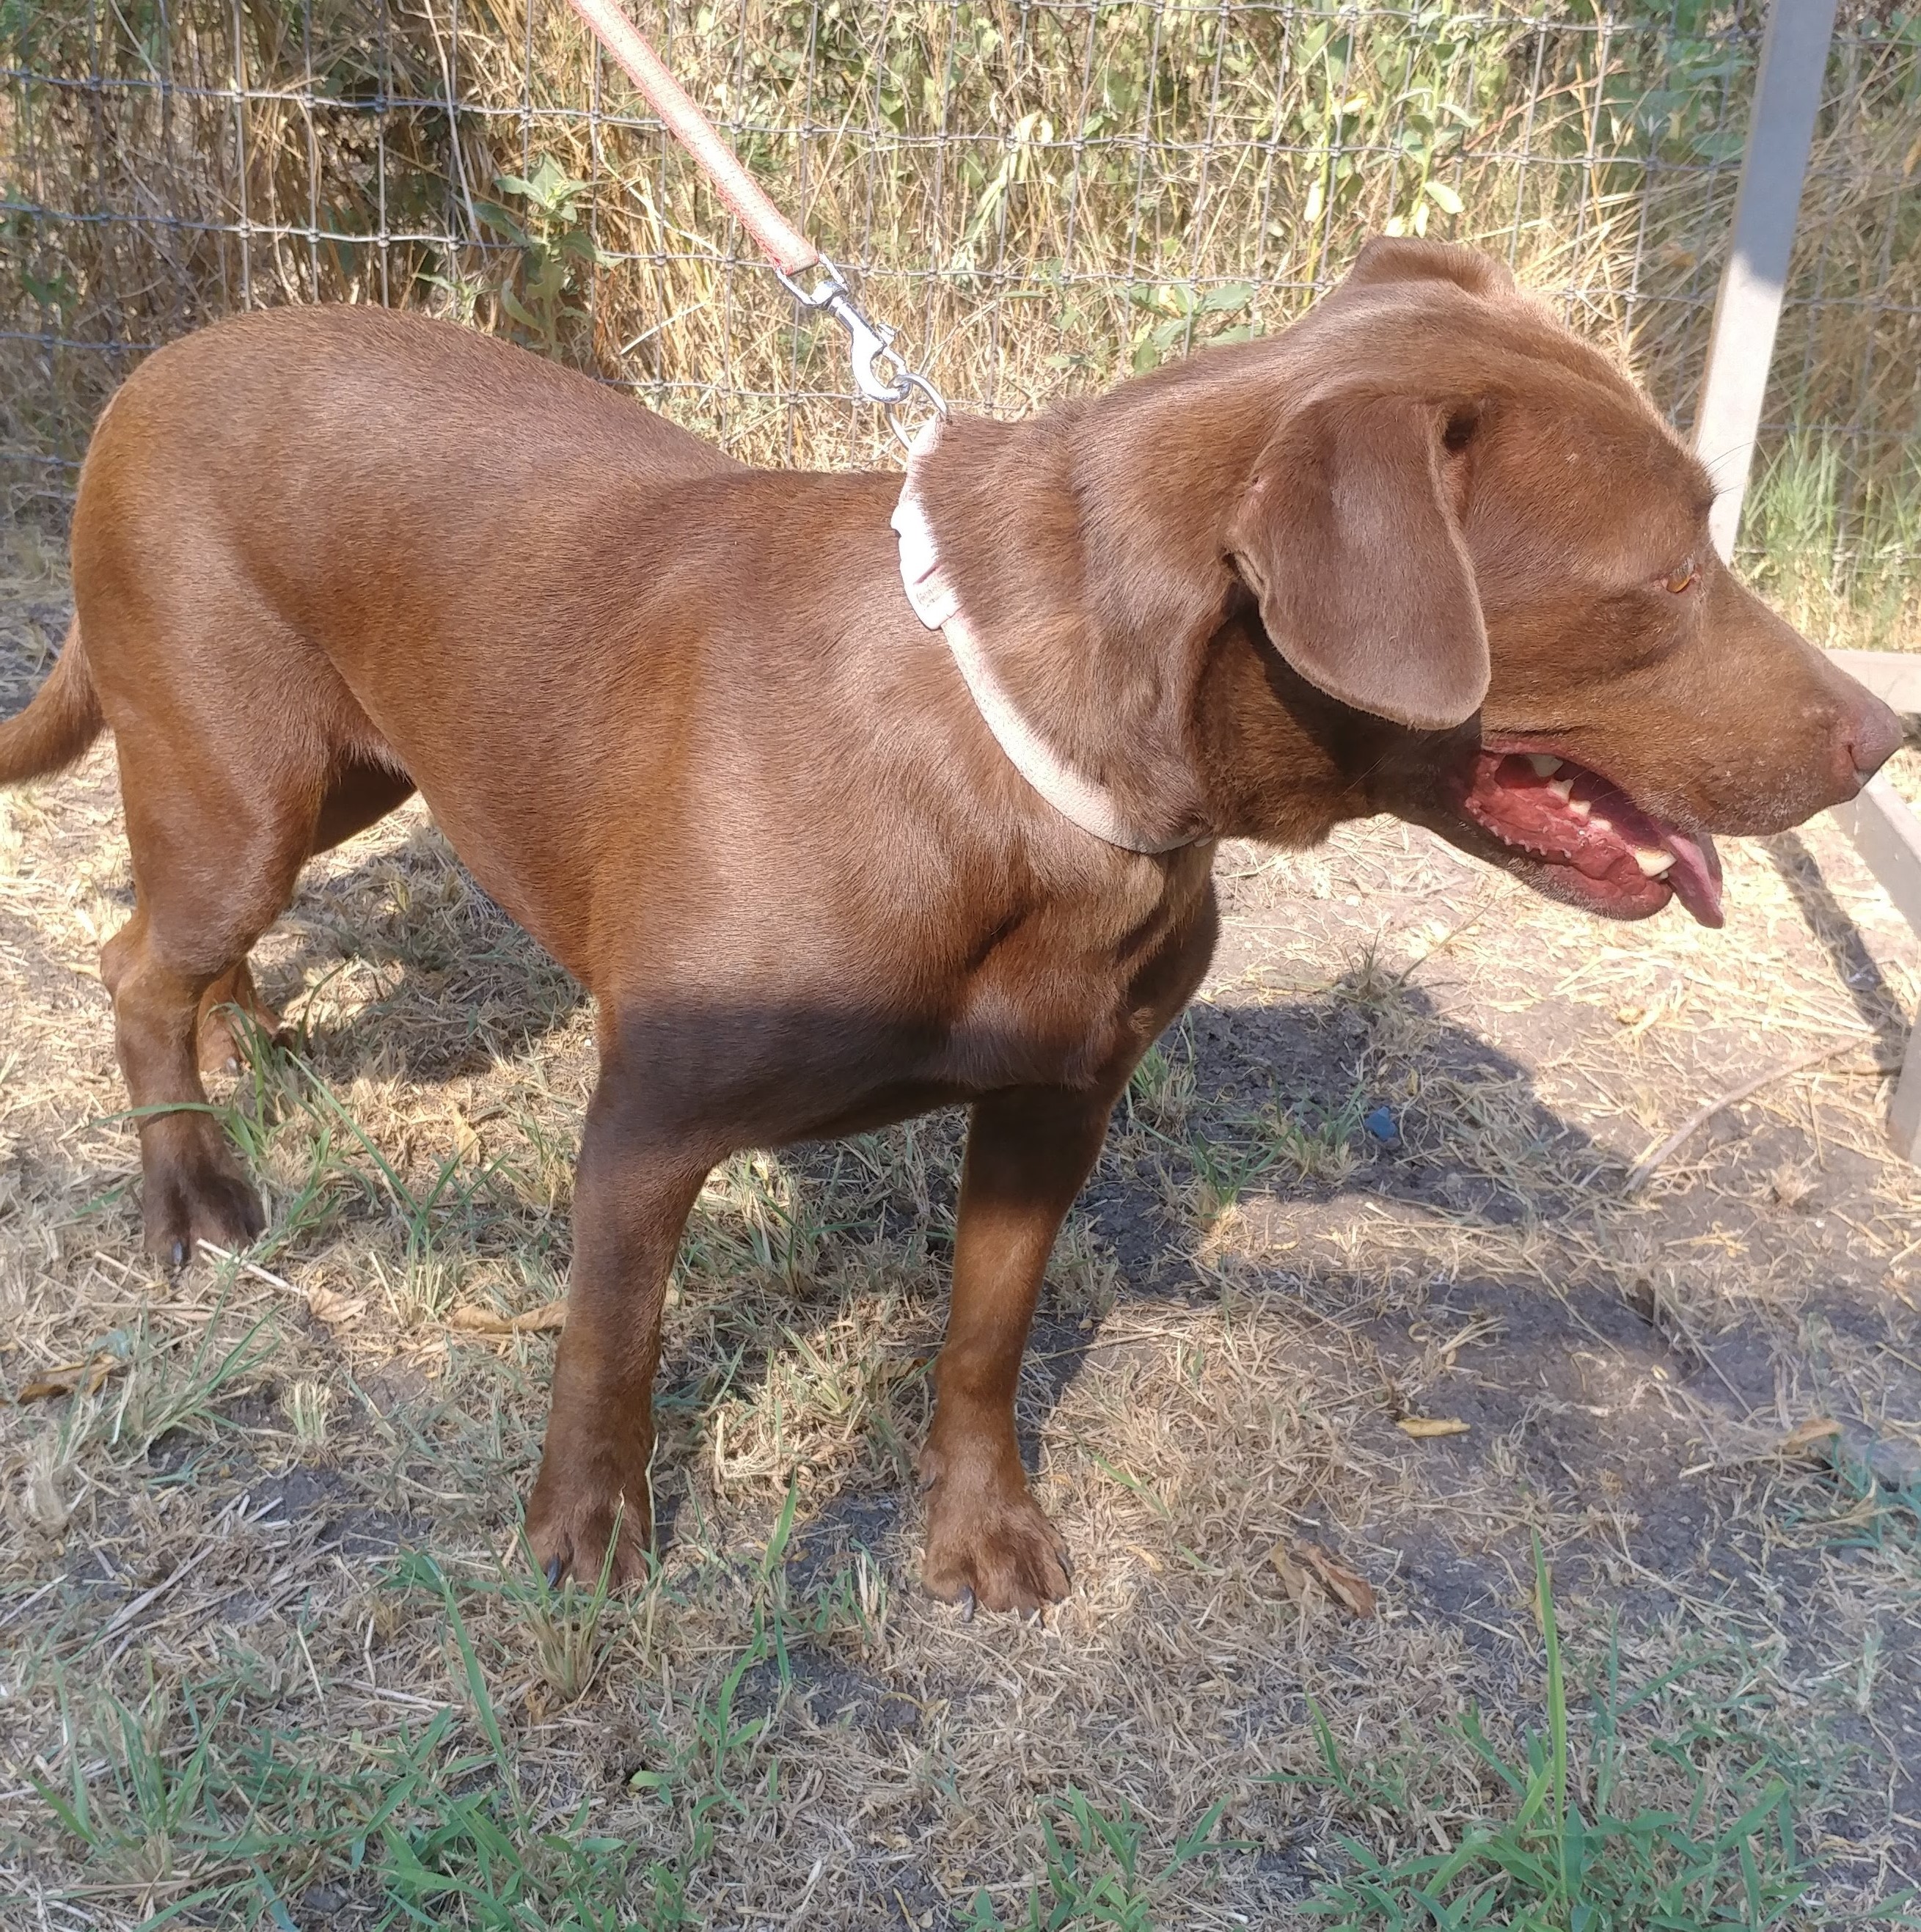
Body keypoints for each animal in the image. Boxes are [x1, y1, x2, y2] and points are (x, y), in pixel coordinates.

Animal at [0, 241, 1886, 1615]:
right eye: (1662, 581)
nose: (1885, 734)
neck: (1035, 761)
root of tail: (156, 370)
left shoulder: (1056, 1108)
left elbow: (985, 1336)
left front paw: (975, 1530)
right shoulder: (646, 1128)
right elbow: (612, 1348)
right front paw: (584, 1542)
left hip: (339, 774)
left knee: (183, 939)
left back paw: (245, 1041)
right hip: (241, 785)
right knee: (132, 954)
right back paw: (191, 1184)